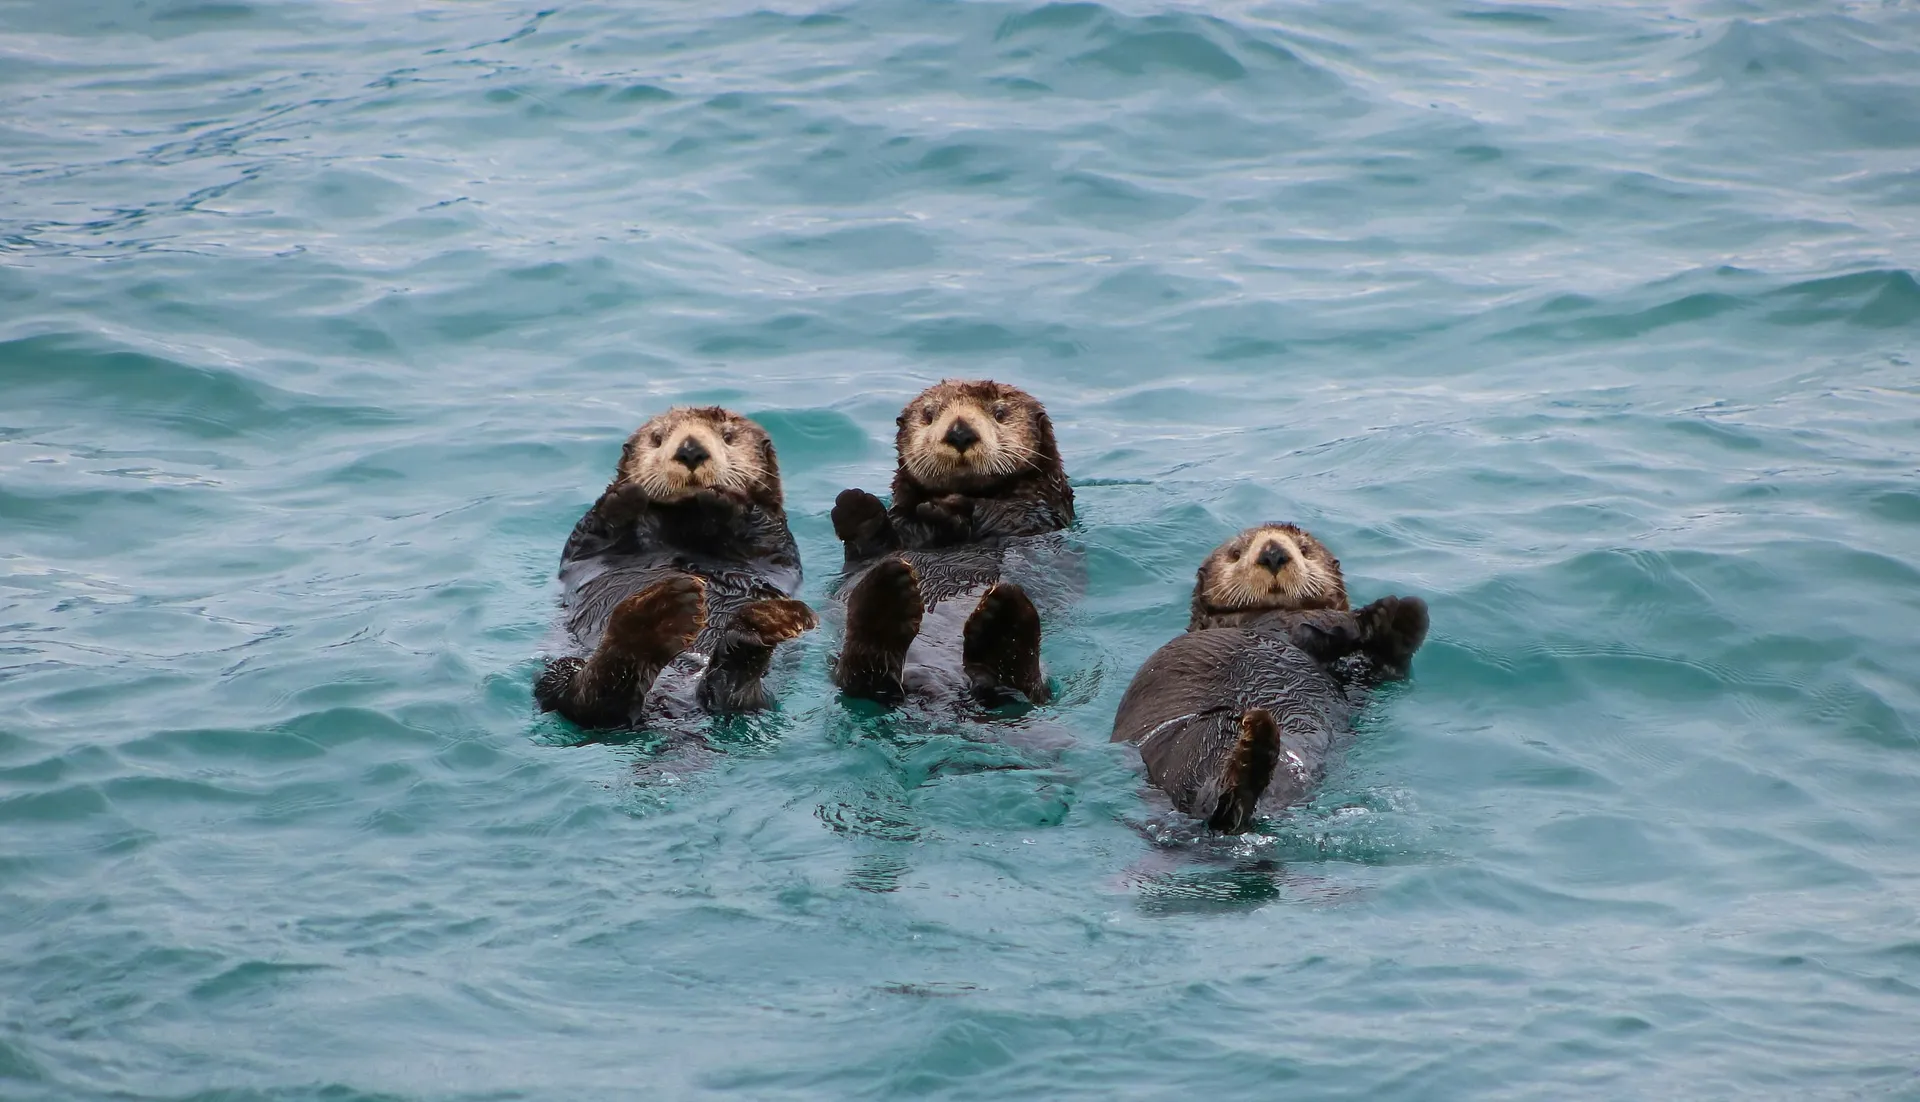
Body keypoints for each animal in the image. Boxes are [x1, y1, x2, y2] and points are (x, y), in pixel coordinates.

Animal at [534, 406, 816, 730]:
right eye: (657, 438)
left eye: (728, 436)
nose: (690, 450)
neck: (684, 526)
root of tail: (672, 701)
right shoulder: (583, 548)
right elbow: (589, 534)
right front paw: (627, 494)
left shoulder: (778, 544)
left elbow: (763, 531)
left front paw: (722, 498)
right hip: (558, 669)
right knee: (586, 701)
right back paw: (658, 617)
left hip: (761, 698)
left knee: (731, 697)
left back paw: (756, 626)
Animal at [827, 380, 1075, 707]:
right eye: (929, 415)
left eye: (999, 413)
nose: (959, 432)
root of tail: (937, 687)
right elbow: (873, 544)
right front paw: (856, 506)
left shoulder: (1036, 513)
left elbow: (1004, 513)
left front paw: (946, 508)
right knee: (861, 677)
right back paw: (887, 594)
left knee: (1024, 689)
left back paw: (1003, 619)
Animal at [1111, 523, 1429, 834]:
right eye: (1236, 553)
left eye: (1304, 549)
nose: (1273, 553)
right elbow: (1316, 625)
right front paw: (1375, 615)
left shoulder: (1357, 678)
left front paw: (1398, 616)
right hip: (1189, 745)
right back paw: (1253, 750)